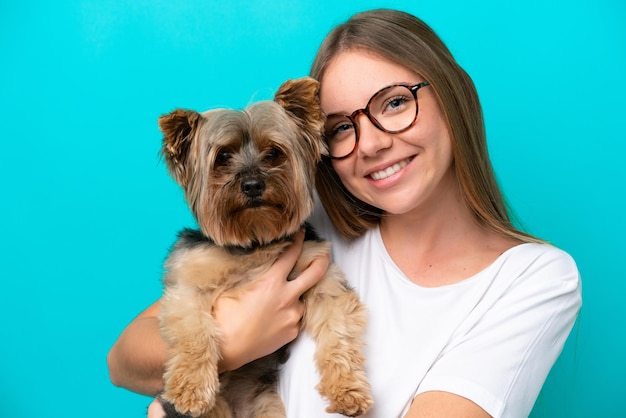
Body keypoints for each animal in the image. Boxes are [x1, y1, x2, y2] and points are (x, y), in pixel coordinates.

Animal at [155, 76, 370, 416]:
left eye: (273, 153)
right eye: (223, 157)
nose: (253, 184)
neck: (254, 241)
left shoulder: (322, 278)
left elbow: (338, 332)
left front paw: (346, 389)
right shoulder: (187, 284)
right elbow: (194, 332)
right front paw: (190, 390)